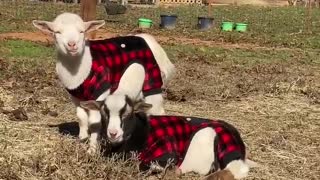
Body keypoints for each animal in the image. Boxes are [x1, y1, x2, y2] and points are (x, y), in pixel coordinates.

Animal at [31, 12, 175, 153]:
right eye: (57, 32)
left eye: (82, 31)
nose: (72, 45)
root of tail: (146, 38)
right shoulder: (75, 96)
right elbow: (81, 117)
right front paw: (82, 139)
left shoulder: (100, 90)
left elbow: (95, 122)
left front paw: (92, 149)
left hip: (153, 83)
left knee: (157, 111)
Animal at [79, 95, 258, 179]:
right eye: (104, 113)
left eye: (128, 114)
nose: (113, 133)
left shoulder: (167, 150)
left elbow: (142, 164)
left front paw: (172, 171)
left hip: (220, 141)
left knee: (236, 168)